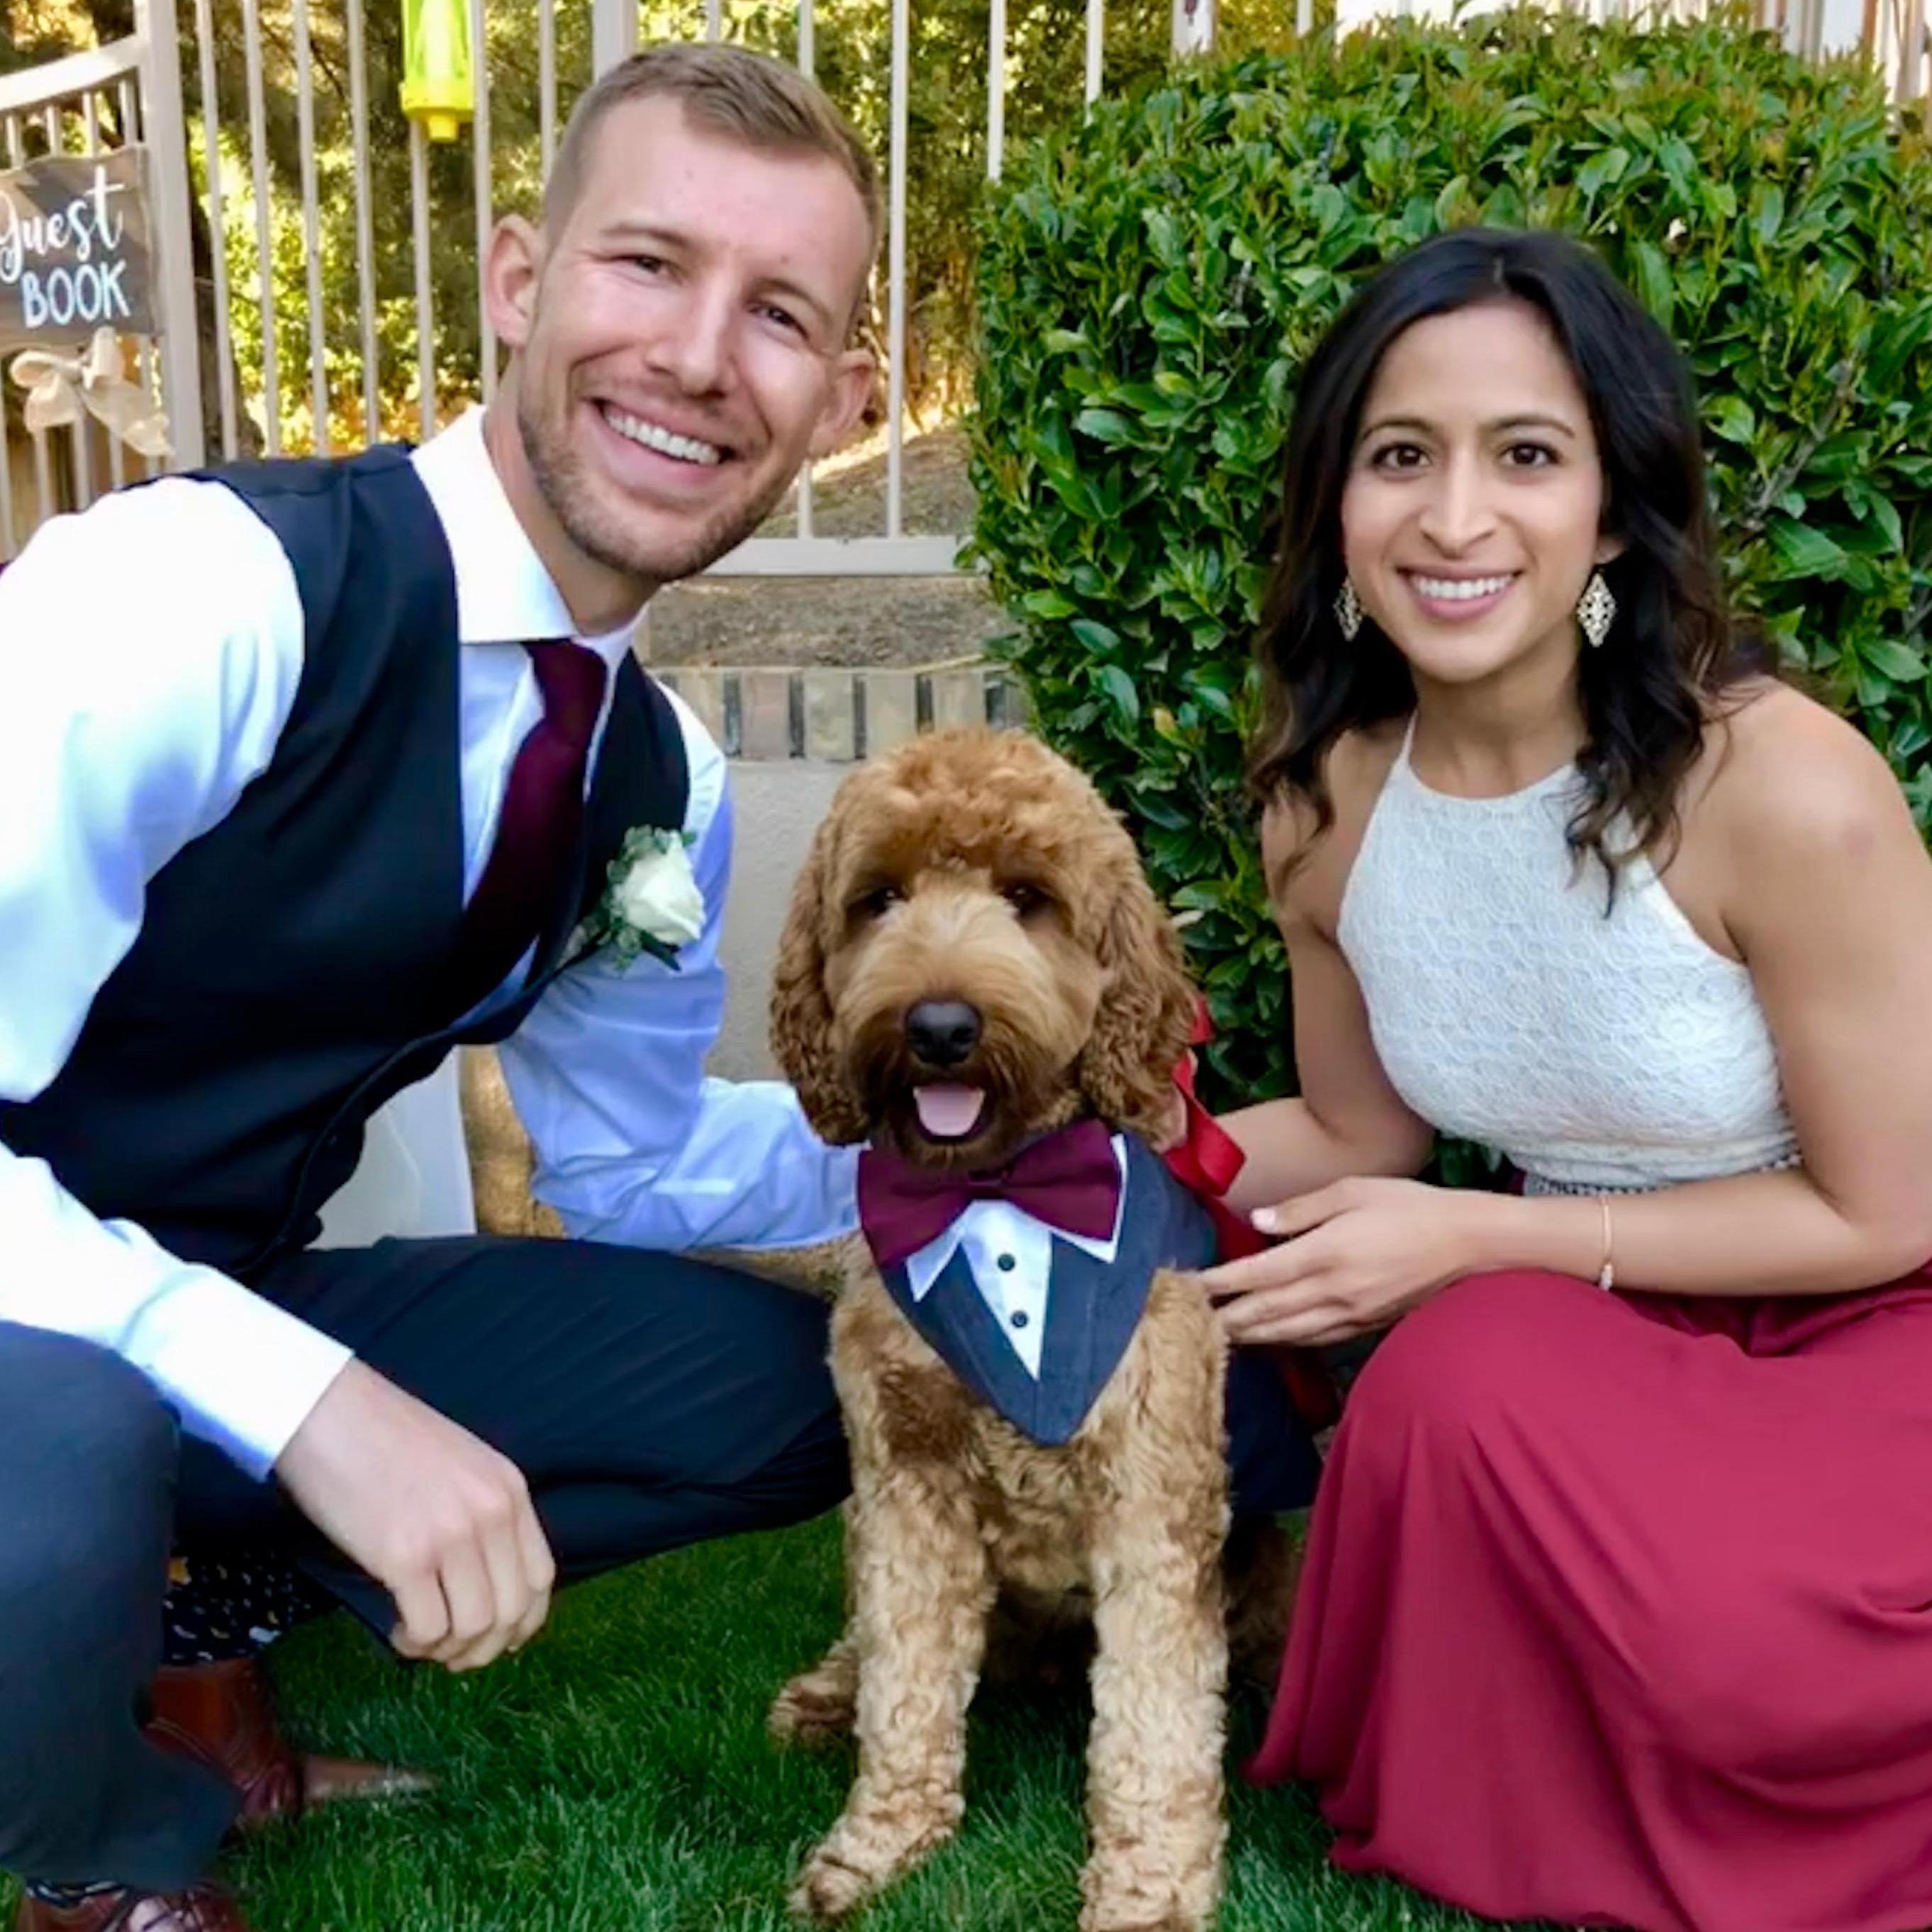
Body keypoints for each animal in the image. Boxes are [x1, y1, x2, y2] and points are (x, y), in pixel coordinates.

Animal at [761, 726, 1290, 1932]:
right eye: (879, 898)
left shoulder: (1151, 1492)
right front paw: (878, 1841)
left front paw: (1148, 1889)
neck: (994, 1191)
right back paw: (824, 1692)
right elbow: (906, 1676)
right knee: (867, 1641)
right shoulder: (903, 1483)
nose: (940, 1026)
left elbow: (1153, 1715)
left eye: (1027, 897)